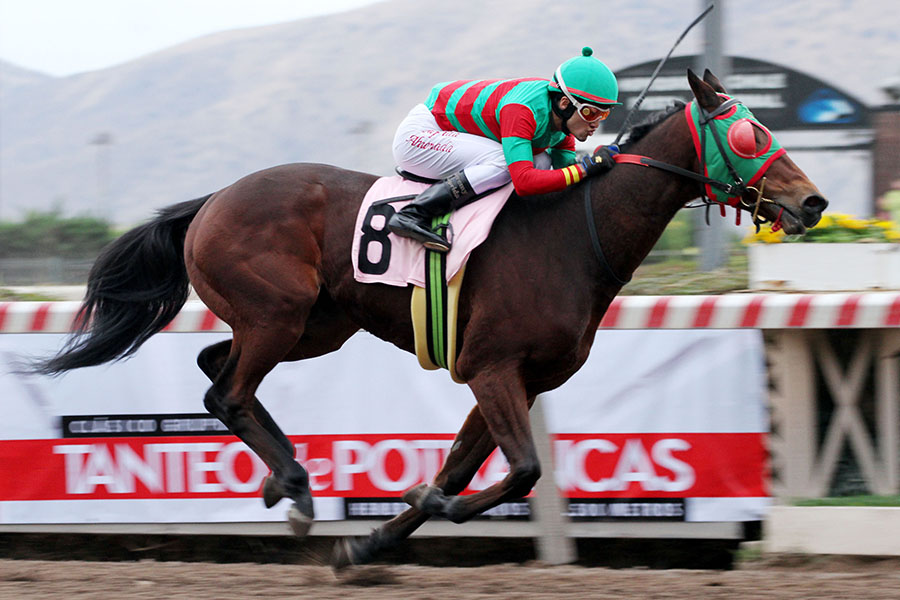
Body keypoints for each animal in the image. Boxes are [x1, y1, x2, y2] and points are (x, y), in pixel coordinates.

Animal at [35, 70, 826, 567]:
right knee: (224, 391)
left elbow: (462, 467)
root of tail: (211, 201)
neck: (576, 234)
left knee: (214, 371)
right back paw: (294, 484)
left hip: (316, 326)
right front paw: (426, 504)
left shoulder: (517, 379)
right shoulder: (492, 367)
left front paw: (372, 541)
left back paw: (283, 482)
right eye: (752, 135)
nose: (813, 203)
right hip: (279, 316)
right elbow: (520, 470)